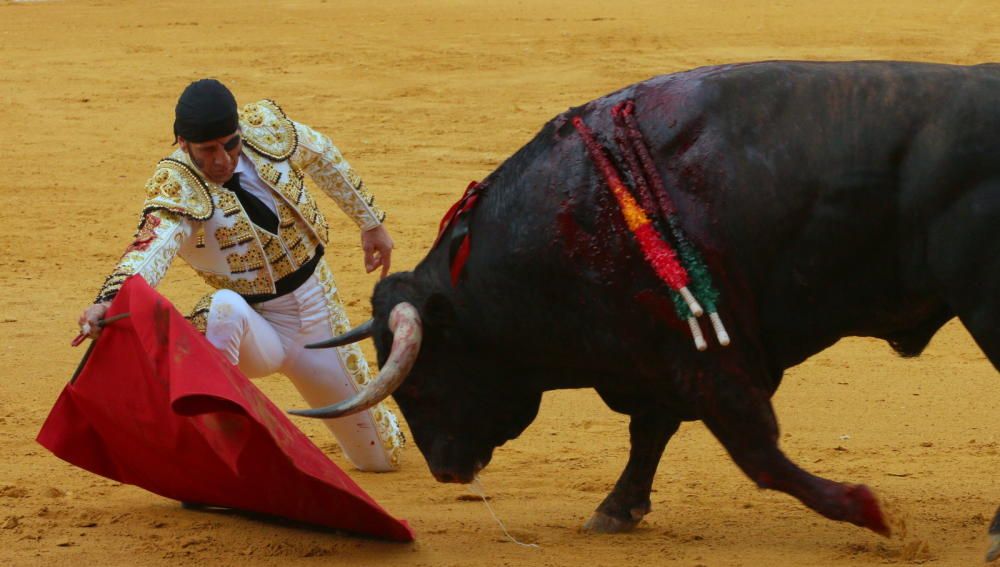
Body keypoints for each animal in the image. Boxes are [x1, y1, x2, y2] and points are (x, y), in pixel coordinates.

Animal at [298, 63, 1000, 556]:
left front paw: (877, 515)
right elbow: (650, 433)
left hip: (985, 307)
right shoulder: (656, 355)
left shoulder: (710, 356)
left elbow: (758, 455)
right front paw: (616, 509)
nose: (446, 471)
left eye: (419, 383)